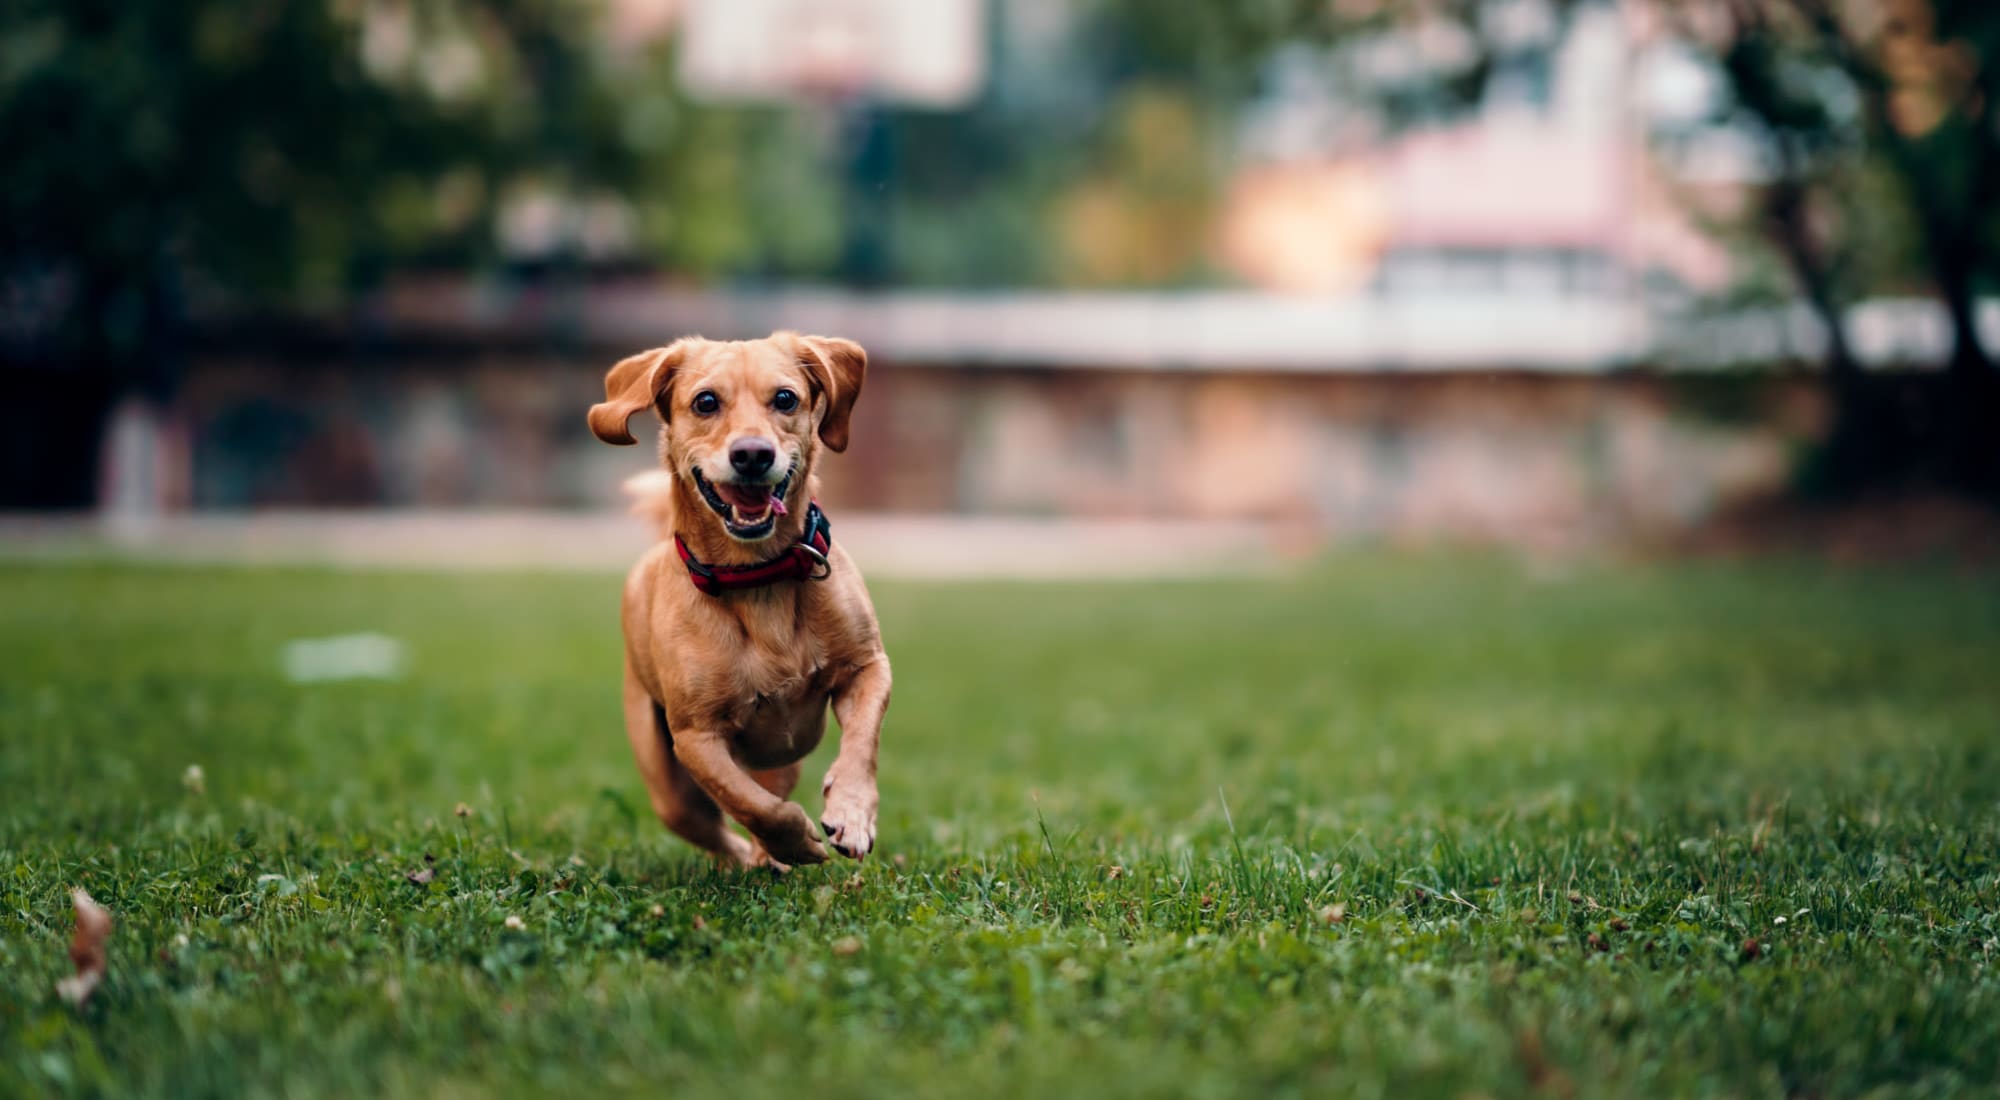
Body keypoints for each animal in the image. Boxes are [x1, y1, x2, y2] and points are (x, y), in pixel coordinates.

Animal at [584, 332, 888, 876]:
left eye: (785, 398)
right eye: (706, 402)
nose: (752, 454)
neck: (757, 576)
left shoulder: (868, 666)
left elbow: (861, 743)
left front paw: (851, 813)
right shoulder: (695, 737)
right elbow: (751, 805)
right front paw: (797, 843)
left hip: (780, 764)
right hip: (668, 787)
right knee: (717, 825)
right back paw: (757, 860)